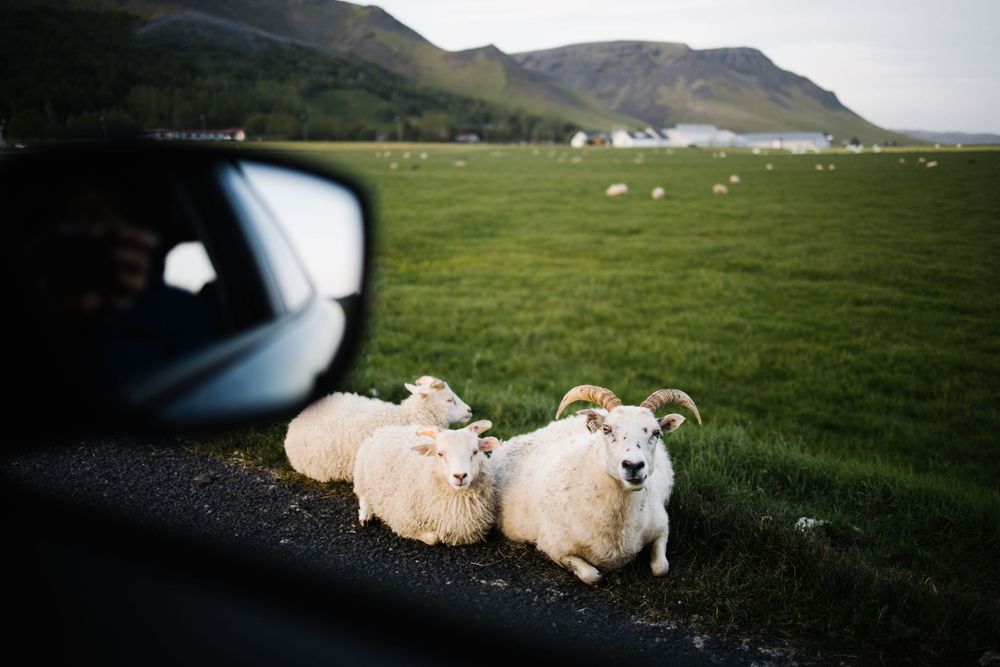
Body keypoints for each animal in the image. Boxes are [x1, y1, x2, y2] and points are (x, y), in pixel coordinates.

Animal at [354, 420, 500, 546]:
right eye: (440, 454)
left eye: (475, 452)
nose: (460, 476)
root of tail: (389, 427)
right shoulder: (403, 521)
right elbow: (433, 538)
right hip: (361, 473)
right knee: (363, 496)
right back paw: (366, 515)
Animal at [491, 384, 702, 584]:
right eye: (607, 430)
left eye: (656, 433)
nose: (633, 465)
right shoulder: (553, 546)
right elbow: (592, 575)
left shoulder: (661, 526)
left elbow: (661, 568)